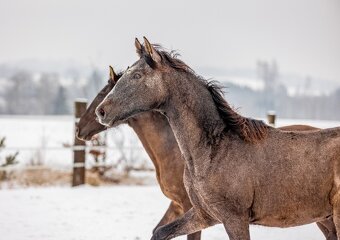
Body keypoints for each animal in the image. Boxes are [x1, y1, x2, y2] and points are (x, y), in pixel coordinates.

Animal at [95, 37, 340, 240]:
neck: (213, 152)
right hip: (326, 219)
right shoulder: (204, 214)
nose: (101, 112)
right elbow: (160, 232)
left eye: (137, 76)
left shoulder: (235, 218)